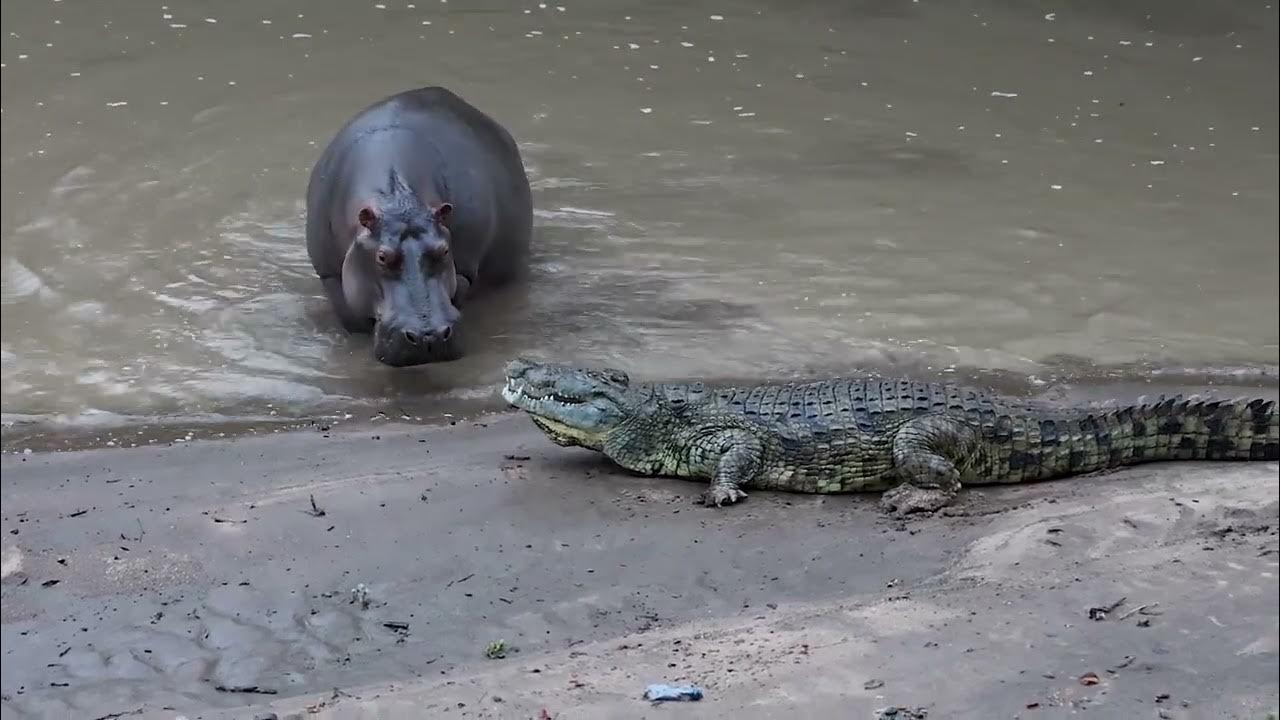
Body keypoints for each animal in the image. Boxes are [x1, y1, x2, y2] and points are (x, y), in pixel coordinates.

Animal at [305, 86, 533, 367]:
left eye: (444, 250)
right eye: (382, 256)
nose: (428, 336)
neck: (399, 201)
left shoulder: (464, 269)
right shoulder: (330, 276)